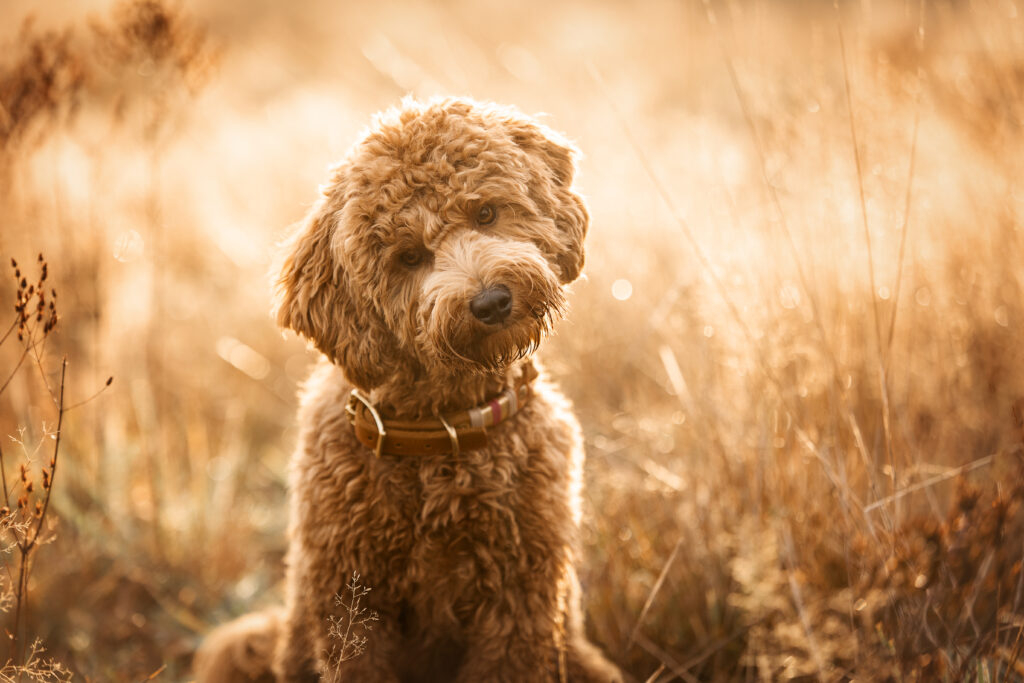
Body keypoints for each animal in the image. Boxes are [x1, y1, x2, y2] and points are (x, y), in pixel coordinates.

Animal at [194, 97, 618, 683]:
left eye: (486, 214)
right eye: (409, 257)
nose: (491, 302)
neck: (442, 432)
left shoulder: (520, 600)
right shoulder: (350, 607)